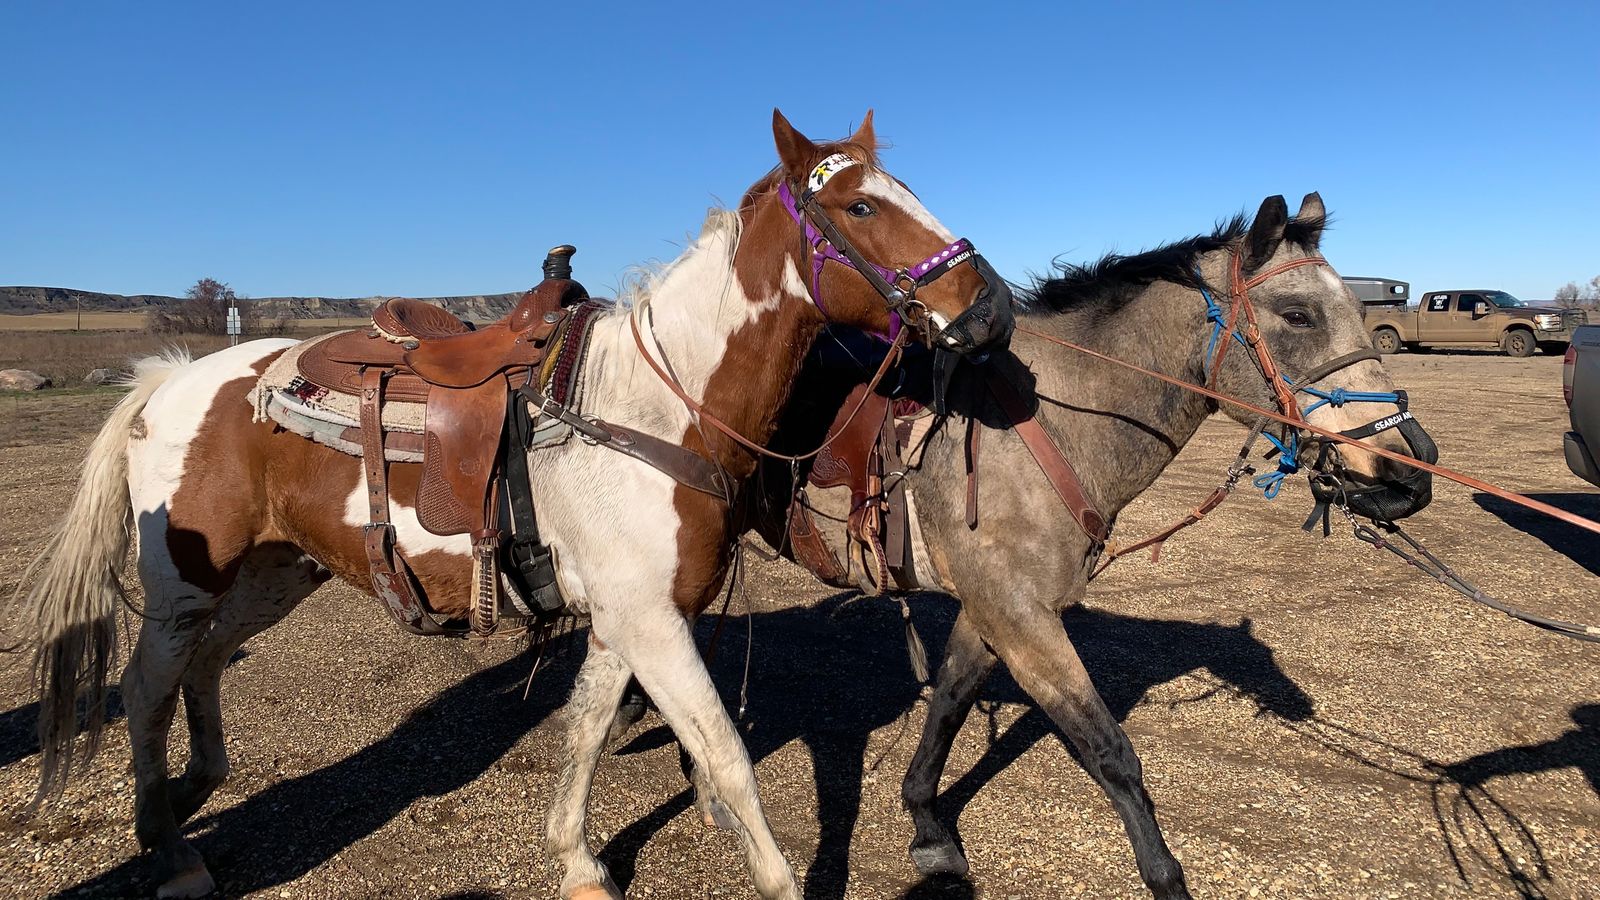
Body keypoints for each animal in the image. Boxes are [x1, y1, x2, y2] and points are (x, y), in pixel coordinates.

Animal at [15, 110, 1014, 900]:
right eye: (861, 207)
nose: (991, 310)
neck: (657, 407)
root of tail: (170, 380)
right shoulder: (650, 622)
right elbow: (725, 758)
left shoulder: (626, 619)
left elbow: (585, 731)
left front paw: (576, 862)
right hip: (185, 581)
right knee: (146, 687)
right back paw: (170, 848)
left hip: (275, 571)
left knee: (210, 662)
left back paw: (195, 790)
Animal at [717, 193, 1437, 898]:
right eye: (1297, 315)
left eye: (1361, 312)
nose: (1409, 470)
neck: (1038, 424)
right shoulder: (1020, 618)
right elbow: (1109, 751)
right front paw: (1165, 878)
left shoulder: (996, 613)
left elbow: (949, 703)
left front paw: (927, 826)